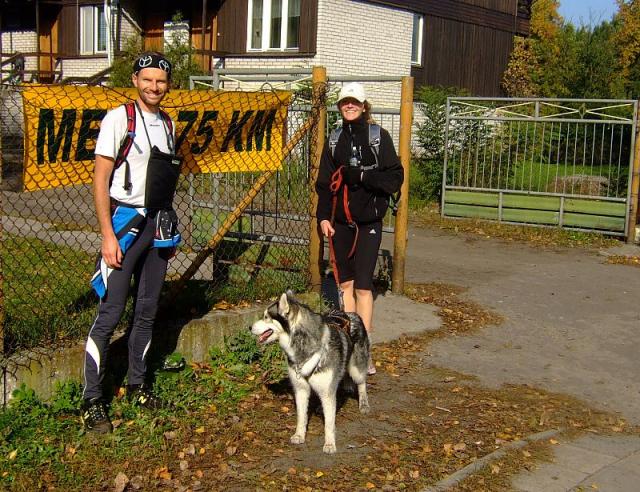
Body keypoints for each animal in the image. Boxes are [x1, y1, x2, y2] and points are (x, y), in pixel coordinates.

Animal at [250, 291, 370, 454]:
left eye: (266, 317)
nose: (249, 327)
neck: (303, 349)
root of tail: (351, 314)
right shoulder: (301, 390)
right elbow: (301, 417)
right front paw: (299, 435)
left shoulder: (327, 391)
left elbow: (329, 423)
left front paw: (330, 443)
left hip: (356, 369)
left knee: (361, 383)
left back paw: (363, 404)